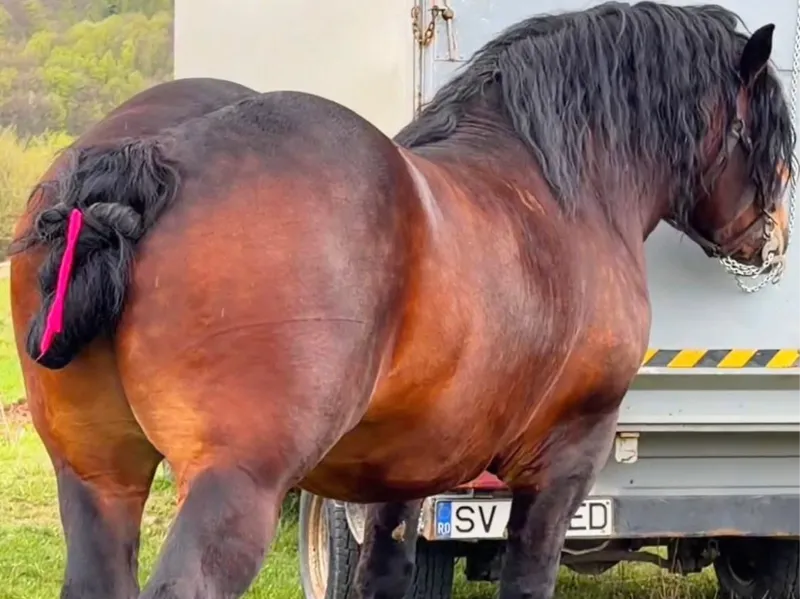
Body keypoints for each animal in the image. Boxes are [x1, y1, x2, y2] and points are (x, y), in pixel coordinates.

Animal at [8, 2, 794, 598]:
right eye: (769, 130)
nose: (771, 240)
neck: (559, 188)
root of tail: (155, 154)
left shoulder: (402, 473)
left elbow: (385, 574)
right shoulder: (564, 466)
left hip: (97, 478)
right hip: (234, 486)